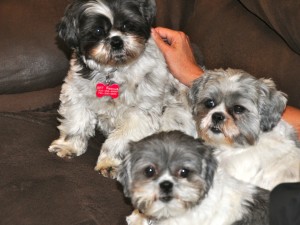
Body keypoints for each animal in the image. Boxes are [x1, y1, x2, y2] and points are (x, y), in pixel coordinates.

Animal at [48, 0, 196, 178]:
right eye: (98, 31)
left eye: (128, 25)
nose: (116, 41)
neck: (114, 71)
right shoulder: (76, 92)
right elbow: (76, 122)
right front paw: (68, 146)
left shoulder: (140, 113)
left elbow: (120, 139)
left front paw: (110, 162)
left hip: (173, 115)